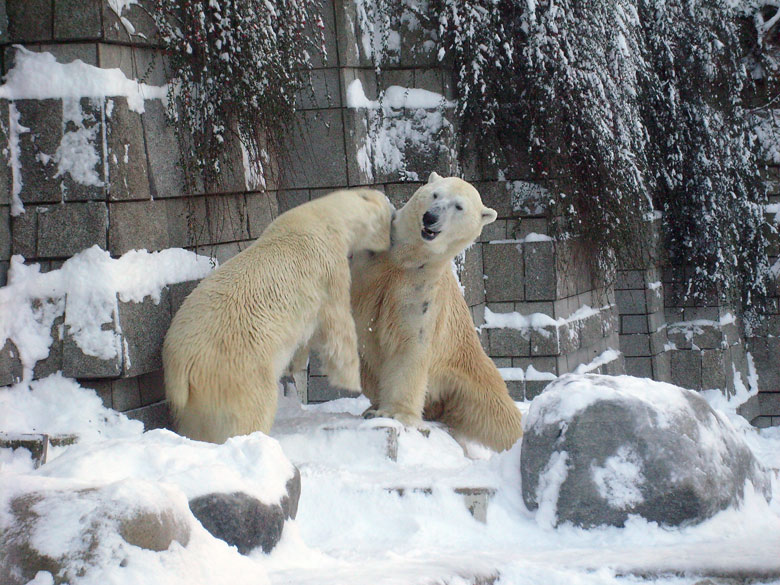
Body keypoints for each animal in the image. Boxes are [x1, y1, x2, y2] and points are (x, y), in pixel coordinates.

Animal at [165, 189, 396, 440]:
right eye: (388, 212)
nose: (394, 209)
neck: (325, 218)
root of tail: (181, 367)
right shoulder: (329, 268)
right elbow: (338, 325)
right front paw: (351, 382)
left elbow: (308, 333)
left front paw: (296, 364)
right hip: (237, 370)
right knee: (252, 411)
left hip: (195, 401)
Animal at [348, 173, 520, 452]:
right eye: (435, 194)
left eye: (459, 206)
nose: (430, 217)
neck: (406, 258)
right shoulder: (372, 262)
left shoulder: (422, 288)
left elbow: (409, 343)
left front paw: (394, 414)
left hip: (471, 369)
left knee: (499, 418)